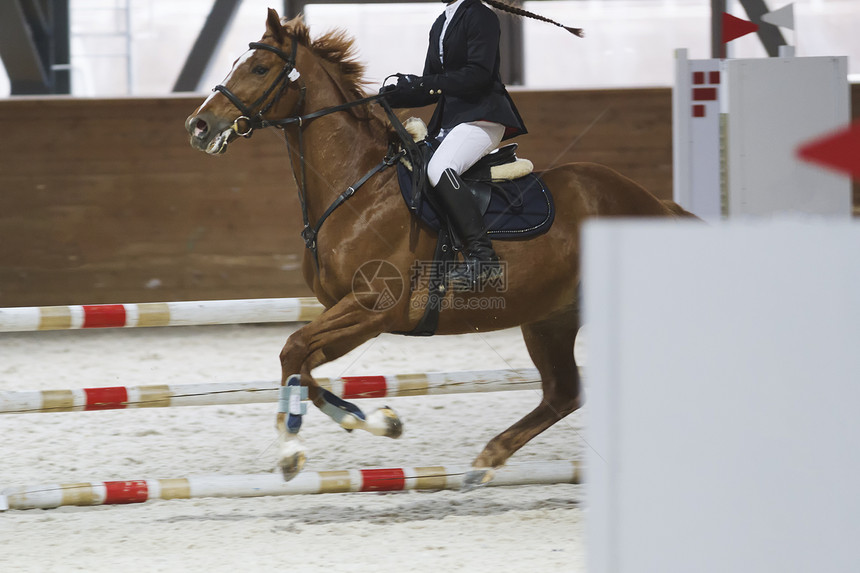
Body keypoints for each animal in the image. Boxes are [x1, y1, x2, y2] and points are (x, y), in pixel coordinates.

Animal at [188, 8, 692, 484]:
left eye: (258, 68)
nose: (198, 125)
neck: (356, 186)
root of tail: (656, 205)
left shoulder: (374, 306)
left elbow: (292, 350)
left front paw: (290, 448)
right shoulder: (349, 313)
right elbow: (305, 368)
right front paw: (376, 421)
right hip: (550, 317)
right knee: (562, 393)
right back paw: (485, 461)